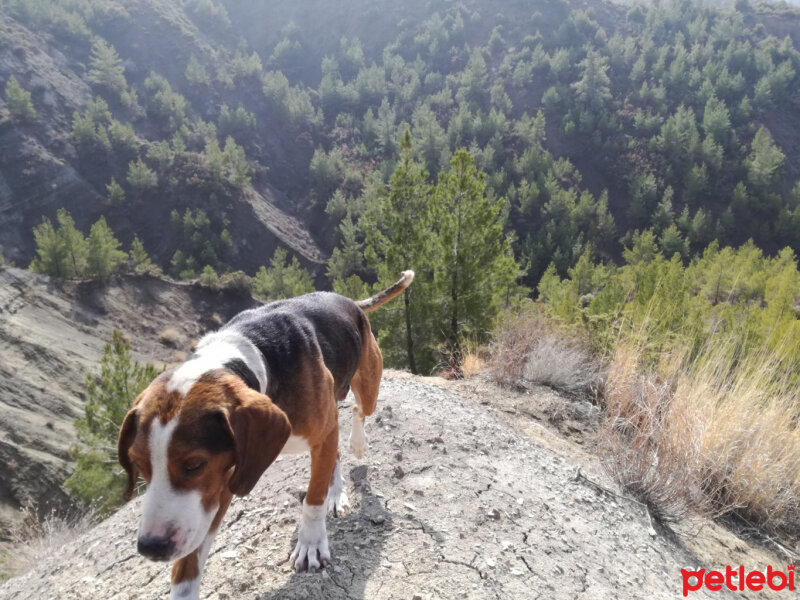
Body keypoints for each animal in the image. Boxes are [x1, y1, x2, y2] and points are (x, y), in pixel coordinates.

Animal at [120, 270, 418, 596]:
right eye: (139, 464)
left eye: (195, 464)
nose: (151, 547)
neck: (258, 355)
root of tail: (347, 300)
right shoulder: (225, 474)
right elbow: (188, 561)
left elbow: (313, 498)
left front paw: (311, 543)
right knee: (335, 449)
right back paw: (337, 490)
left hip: (367, 385)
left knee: (358, 410)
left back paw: (357, 445)